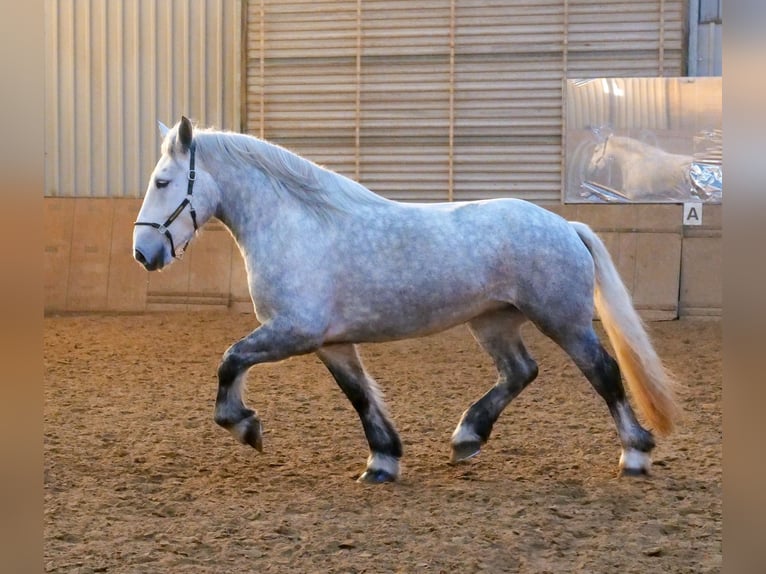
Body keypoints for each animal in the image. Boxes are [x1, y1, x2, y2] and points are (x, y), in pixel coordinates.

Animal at [135, 117, 680, 486]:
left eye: (162, 182)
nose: (143, 253)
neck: (299, 224)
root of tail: (565, 224)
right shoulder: (331, 343)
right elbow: (360, 396)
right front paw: (382, 460)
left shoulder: (295, 331)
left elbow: (230, 361)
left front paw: (245, 426)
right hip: (493, 322)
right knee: (520, 372)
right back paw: (467, 438)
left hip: (563, 321)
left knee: (603, 372)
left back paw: (635, 455)